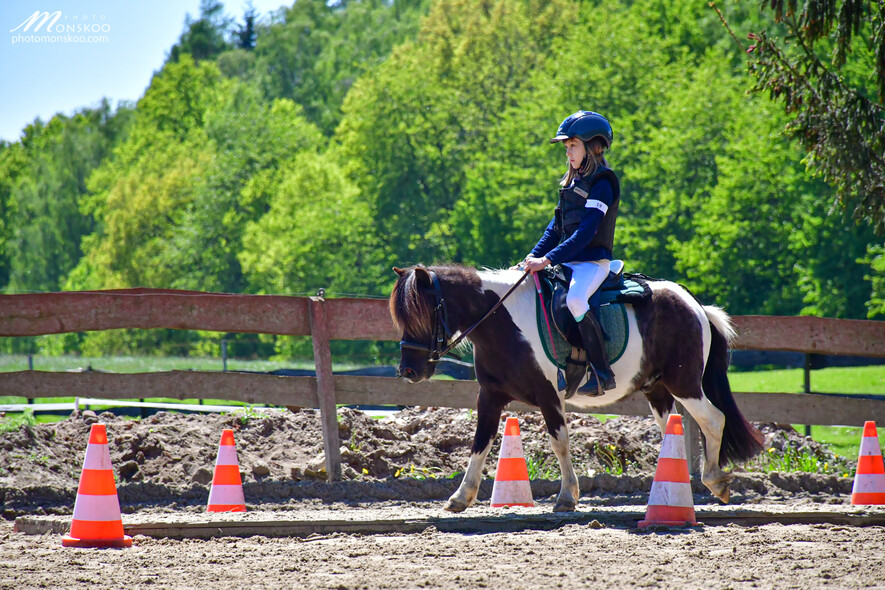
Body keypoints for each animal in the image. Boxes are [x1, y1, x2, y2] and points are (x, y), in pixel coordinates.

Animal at [390, 268, 764, 512]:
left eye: (423, 314)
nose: (408, 371)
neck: (503, 323)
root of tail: (694, 304)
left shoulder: (548, 396)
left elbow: (560, 443)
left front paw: (567, 497)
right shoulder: (490, 397)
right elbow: (480, 442)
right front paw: (460, 496)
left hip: (684, 384)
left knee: (713, 420)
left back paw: (715, 480)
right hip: (657, 390)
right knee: (672, 431)